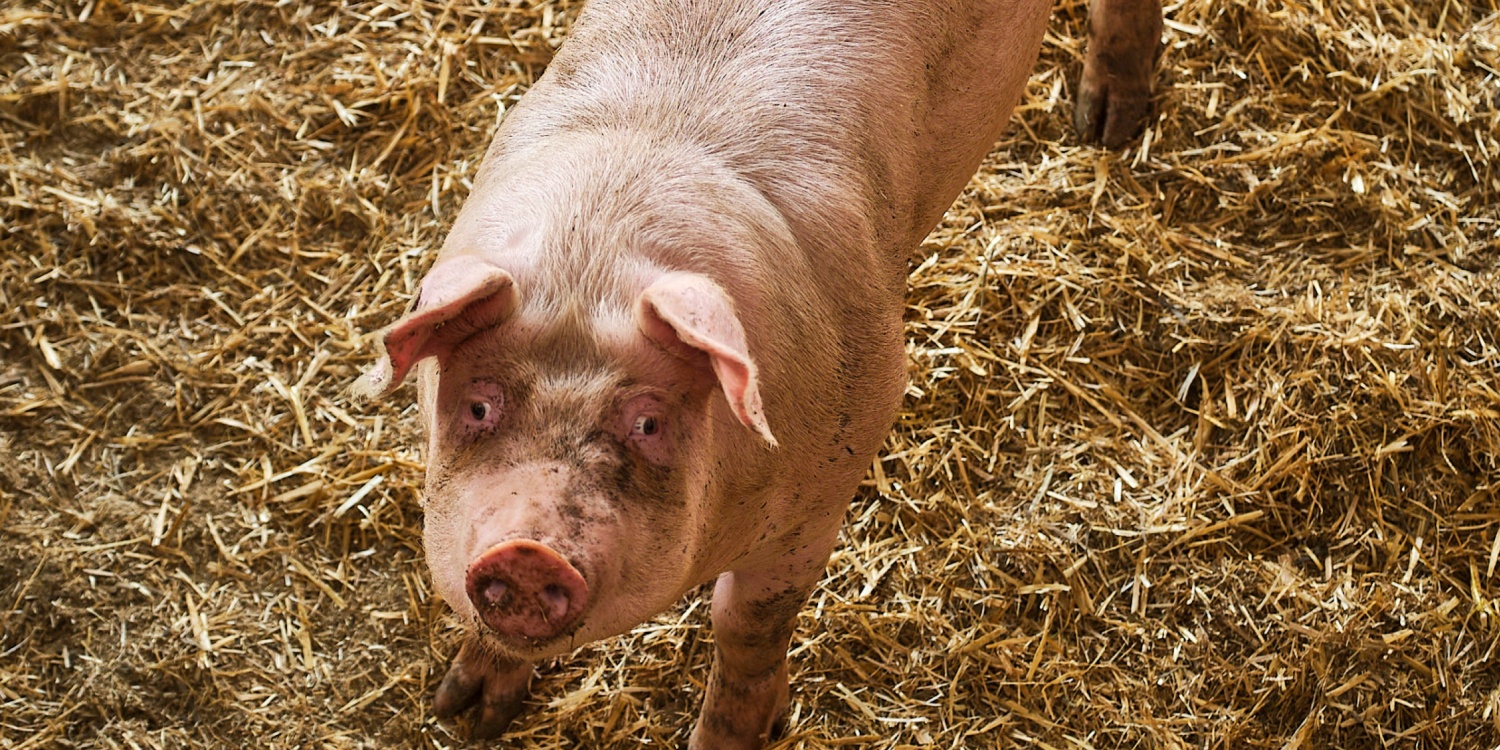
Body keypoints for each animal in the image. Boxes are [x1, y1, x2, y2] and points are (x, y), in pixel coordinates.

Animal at [353, 0, 1160, 747]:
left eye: (649, 421)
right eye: (479, 407)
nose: (526, 552)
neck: (593, 259)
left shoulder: (831, 475)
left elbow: (747, 624)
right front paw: (463, 713)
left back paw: (1108, 127)